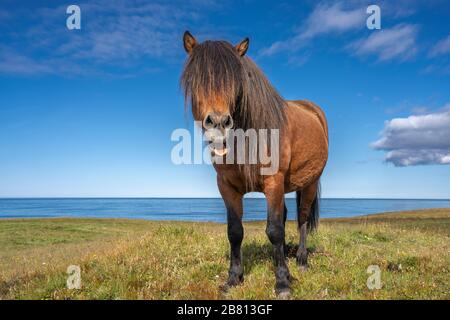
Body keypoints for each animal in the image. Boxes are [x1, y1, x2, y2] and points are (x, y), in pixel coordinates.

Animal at [181, 31, 328, 296]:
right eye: (196, 80)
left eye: (236, 82)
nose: (218, 123)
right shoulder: (227, 186)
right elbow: (235, 231)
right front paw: (233, 278)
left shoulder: (273, 182)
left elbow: (275, 230)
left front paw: (282, 283)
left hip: (309, 182)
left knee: (302, 218)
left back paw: (301, 261)